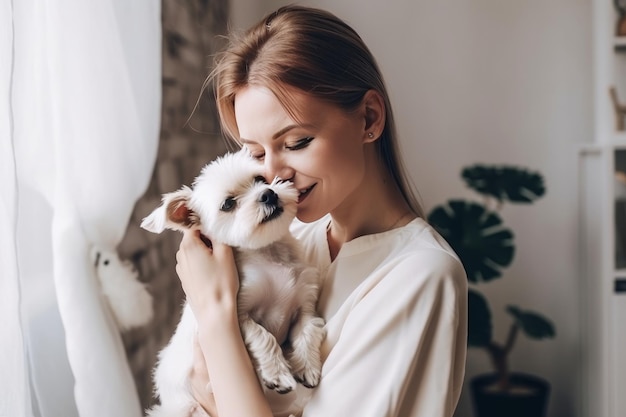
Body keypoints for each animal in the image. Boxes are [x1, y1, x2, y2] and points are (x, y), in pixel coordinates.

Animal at [140, 150, 324, 416]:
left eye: (260, 179)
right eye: (228, 204)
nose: (268, 194)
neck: (269, 252)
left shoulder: (304, 305)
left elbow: (307, 331)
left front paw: (307, 366)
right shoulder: (239, 314)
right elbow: (263, 336)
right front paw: (278, 376)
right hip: (186, 408)